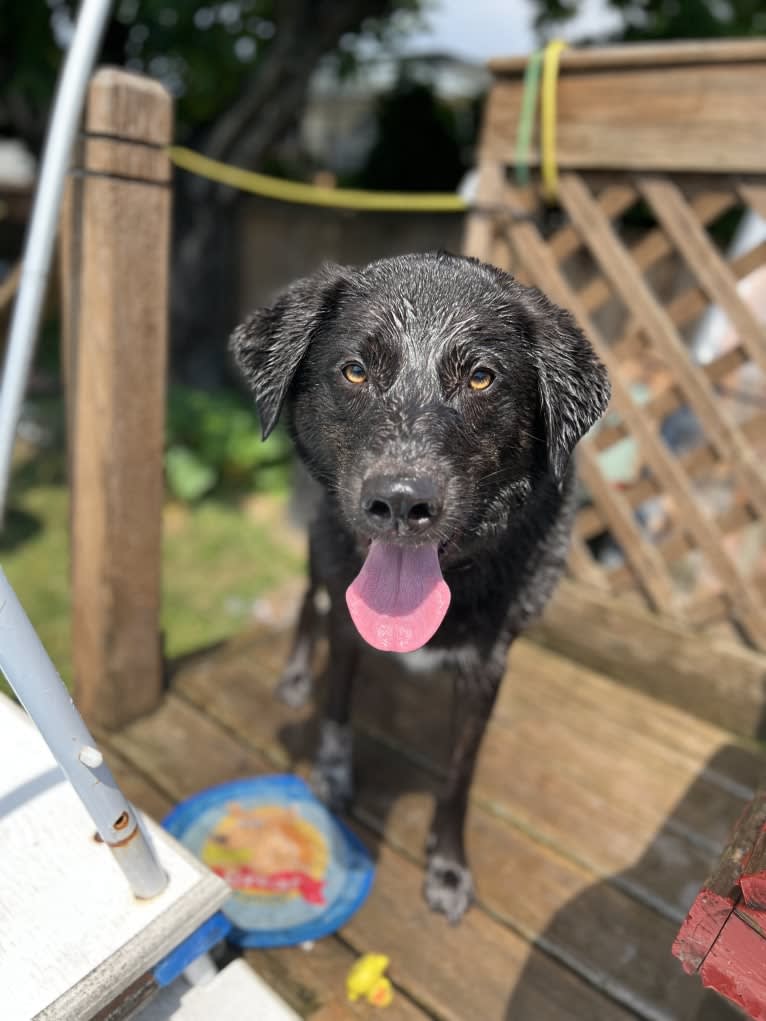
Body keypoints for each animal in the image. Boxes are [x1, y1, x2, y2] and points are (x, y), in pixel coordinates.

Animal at [233, 251, 612, 922]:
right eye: (355, 371)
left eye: (482, 378)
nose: (401, 501)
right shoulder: (345, 615)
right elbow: (337, 709)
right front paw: (332, 780)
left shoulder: (489, 665)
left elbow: (459, 775)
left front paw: (447, 868)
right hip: (321, 542)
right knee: (309, 597)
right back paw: (297, 674)